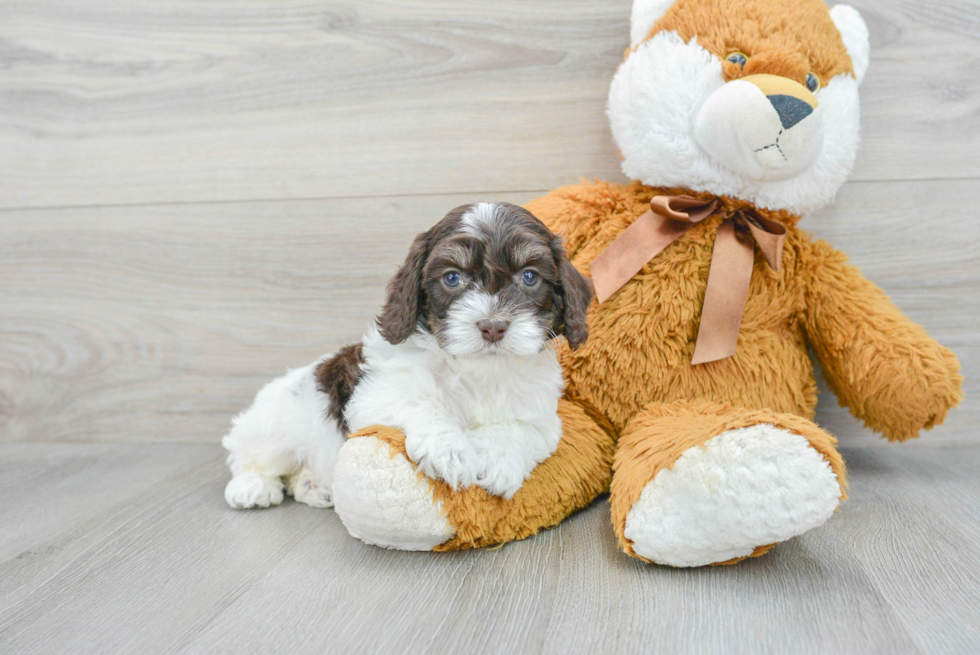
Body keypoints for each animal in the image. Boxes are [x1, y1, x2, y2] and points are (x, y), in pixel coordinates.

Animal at [221, 202, 592, 510]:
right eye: (452, 277)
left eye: (529, 276)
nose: (492, 327)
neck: (477, 371)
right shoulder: (375, 394)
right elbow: (420, 403)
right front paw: (450, 450)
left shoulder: (541, 416)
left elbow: (521, 428)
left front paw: (497, 460)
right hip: (276, 429)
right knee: (250, 457)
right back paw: (251, 487)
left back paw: (313, 486)